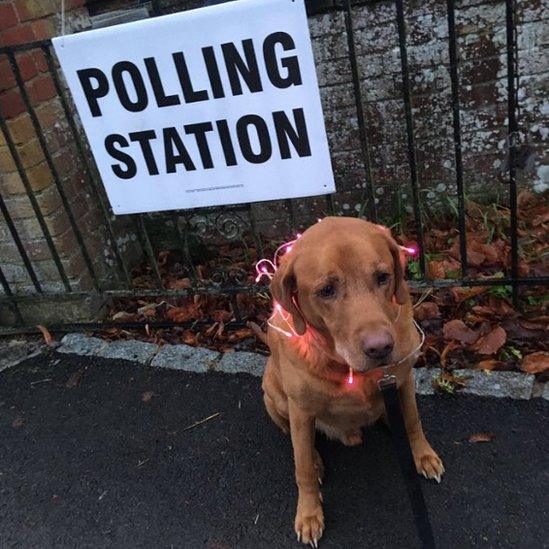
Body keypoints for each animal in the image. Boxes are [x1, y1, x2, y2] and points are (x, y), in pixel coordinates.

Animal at [255, 217, 444, 544]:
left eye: (383, 277)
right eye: (326, 290)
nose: (381, 348)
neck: (349, 368)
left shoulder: (403, 381)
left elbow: (412, 421)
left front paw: (423, 455)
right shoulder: (301, 411)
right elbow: (302, 467)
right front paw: (309, 513)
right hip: (274, 395)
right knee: (294, 438)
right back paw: (316, 458)